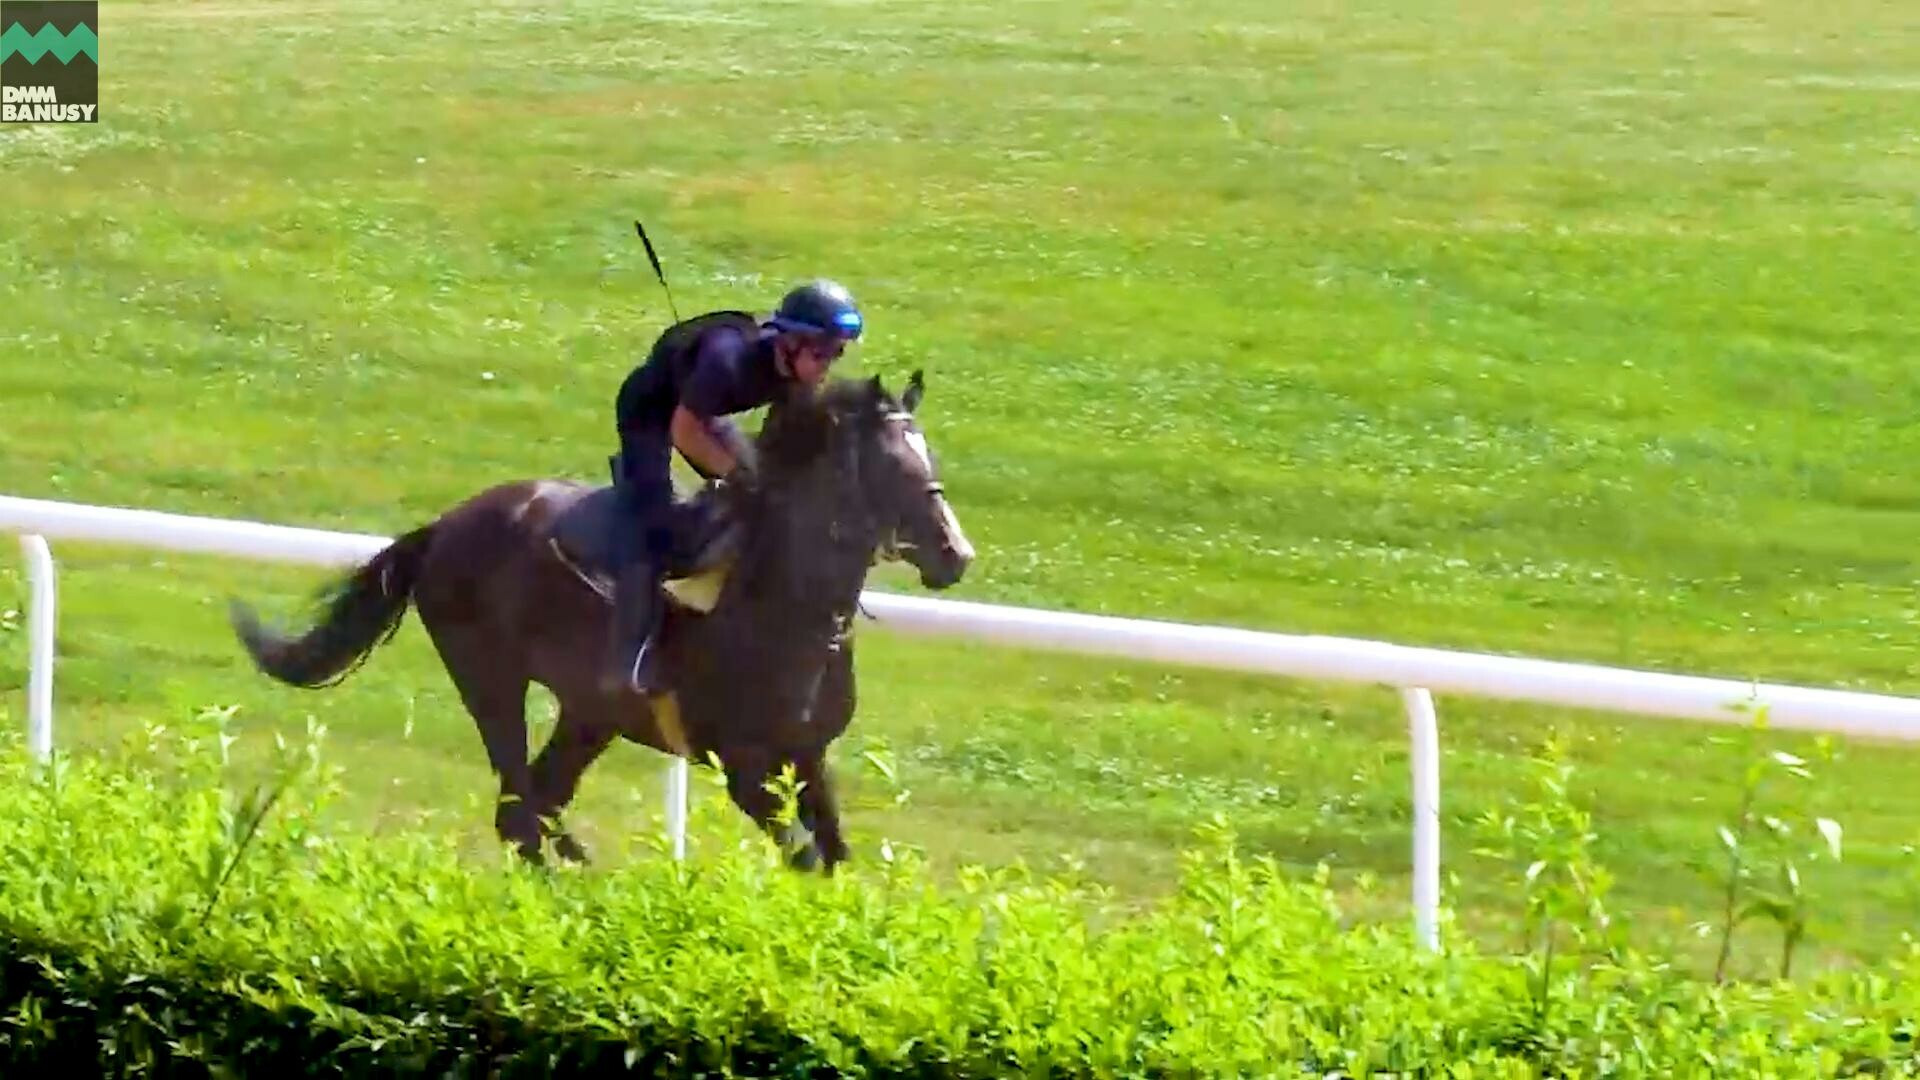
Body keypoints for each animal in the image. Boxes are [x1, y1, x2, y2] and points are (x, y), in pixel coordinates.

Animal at [226, 368, 975, 864]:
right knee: (520, 811)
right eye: (893, 467)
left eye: (930, 457)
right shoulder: (744, 768)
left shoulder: (806, 755)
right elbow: (807, 855)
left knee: (536, 804)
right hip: (489, 678)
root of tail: (442, 526)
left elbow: (834, 855)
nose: (955, 555)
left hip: (590, 712)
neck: (790, 609)